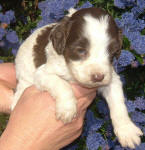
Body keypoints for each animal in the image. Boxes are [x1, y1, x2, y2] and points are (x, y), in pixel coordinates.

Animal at [11, 7, 143, 149]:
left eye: (112, 52)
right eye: (80, 50)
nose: (98, 77)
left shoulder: (111, 78)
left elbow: (118, 103)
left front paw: (127, 131)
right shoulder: (42, 73)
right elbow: (61, 83)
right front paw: (67, 108)